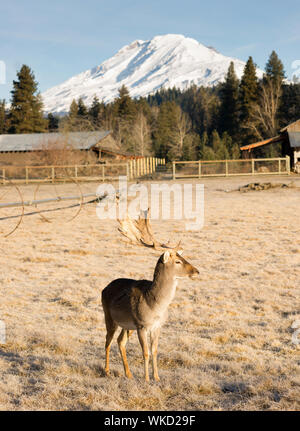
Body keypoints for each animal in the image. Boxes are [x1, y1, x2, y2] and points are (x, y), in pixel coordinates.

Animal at [101, 211, 199, 384]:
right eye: (178, 261)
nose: (197, 271)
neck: (155, 305)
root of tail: (104, 289)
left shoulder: (157, 326)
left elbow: (154, 351)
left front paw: (157, 377)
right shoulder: (141, 325)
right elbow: (145, 352)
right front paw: (147, 379)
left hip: (127, 326)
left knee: (120, 341)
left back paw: (129, 374)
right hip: (109, 316)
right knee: (107, 341)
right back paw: (106, 371)